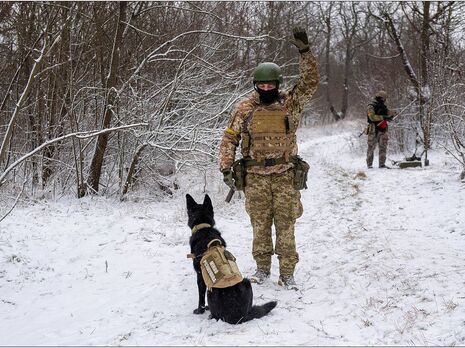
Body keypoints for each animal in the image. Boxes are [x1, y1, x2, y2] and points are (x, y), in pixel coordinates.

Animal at [185, 193, 276, 324]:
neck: (204, 228)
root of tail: (240, 317)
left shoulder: (200, 276)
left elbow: (200, 298)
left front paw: (199, 310)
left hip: (211, 291)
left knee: (215, 315)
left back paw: (210, 314)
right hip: (246, 282)